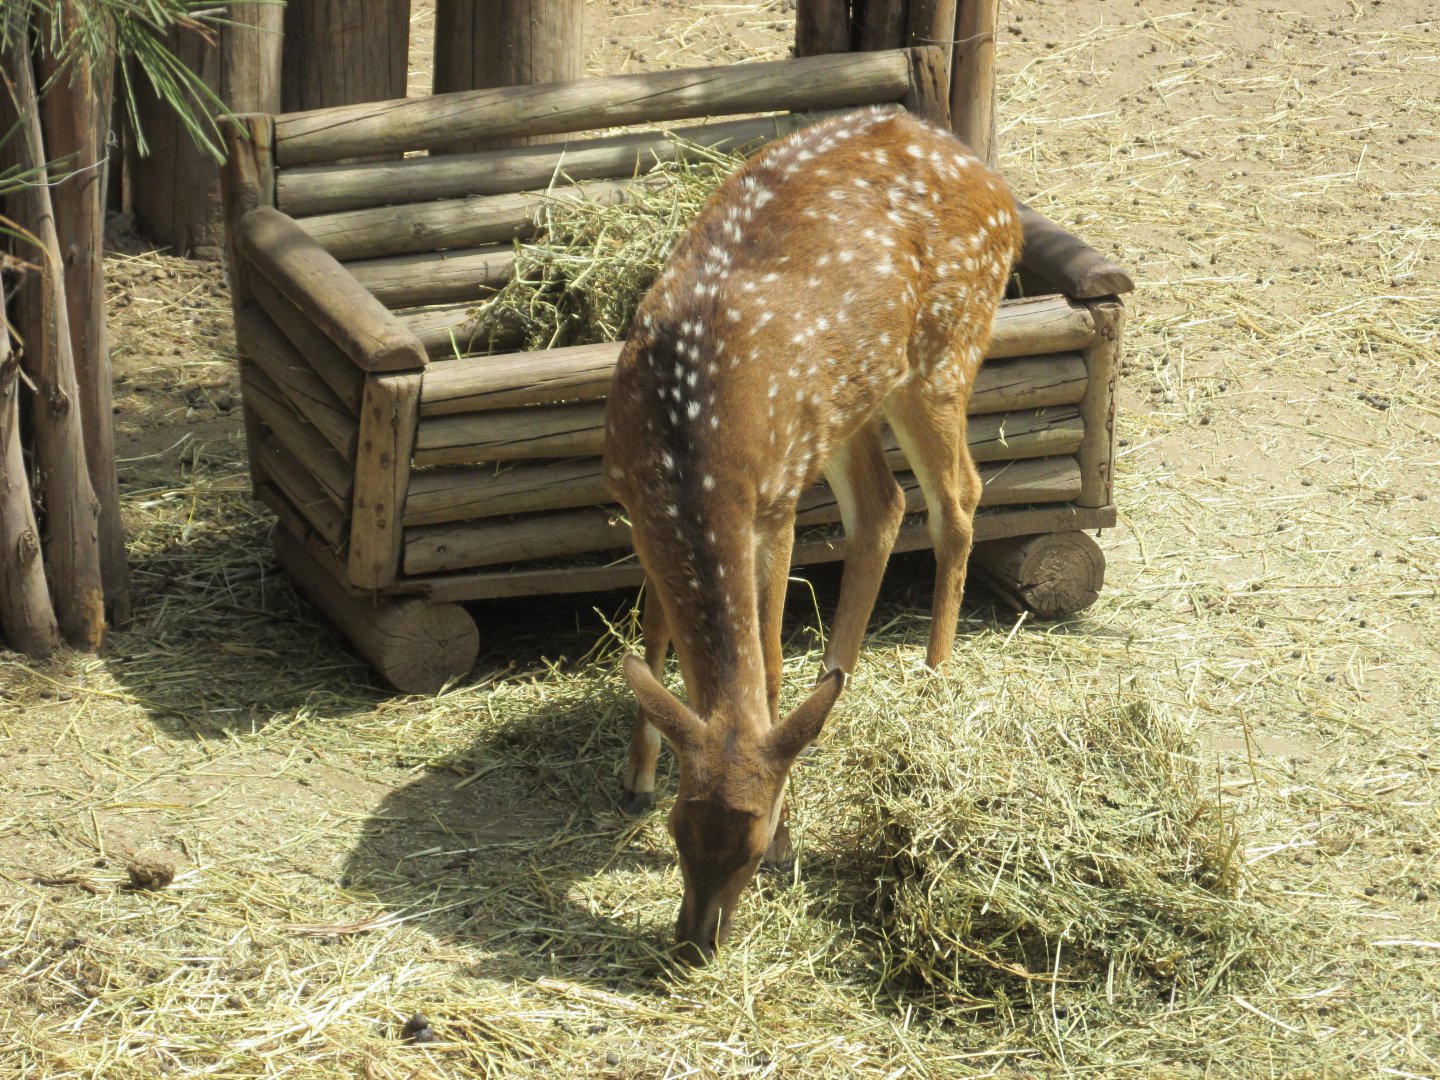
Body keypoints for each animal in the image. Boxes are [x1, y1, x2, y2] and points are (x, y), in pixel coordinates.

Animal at [602, 106, 1024, 963]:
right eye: (679, 831)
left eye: (754, 843)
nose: (697, 939)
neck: (683, 447)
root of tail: (998, 188)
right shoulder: (633, 498)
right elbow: (653, 625)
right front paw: (637, 770)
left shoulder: (772, 507)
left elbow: (763, 667)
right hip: (849, 401)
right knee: (884, 504)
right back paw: (838, 677)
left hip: (945, 351)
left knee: (958, 496)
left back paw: (934, 679)